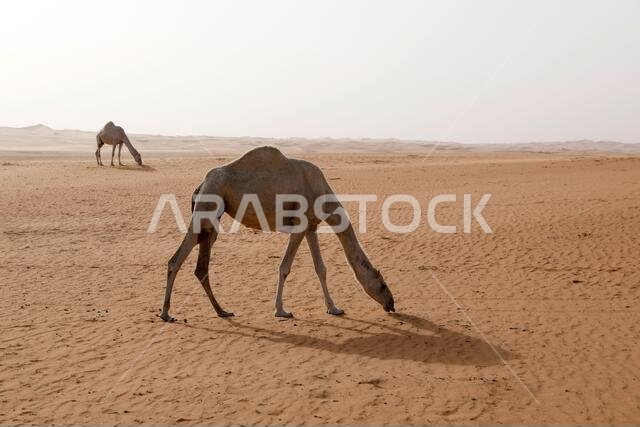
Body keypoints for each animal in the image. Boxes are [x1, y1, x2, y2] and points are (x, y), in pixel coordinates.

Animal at [161, 146, 395, 322]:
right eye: (383, 285)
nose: (391, 304)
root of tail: (201, 184)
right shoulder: (300, 224)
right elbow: (285, 267)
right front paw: (281, 311)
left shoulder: (311, 227)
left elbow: (320, 268)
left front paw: (334, 308)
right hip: (208, 203)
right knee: (177, 259)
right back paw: (166, 314)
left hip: (213, 217)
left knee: (201, 265)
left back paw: (222, 311)